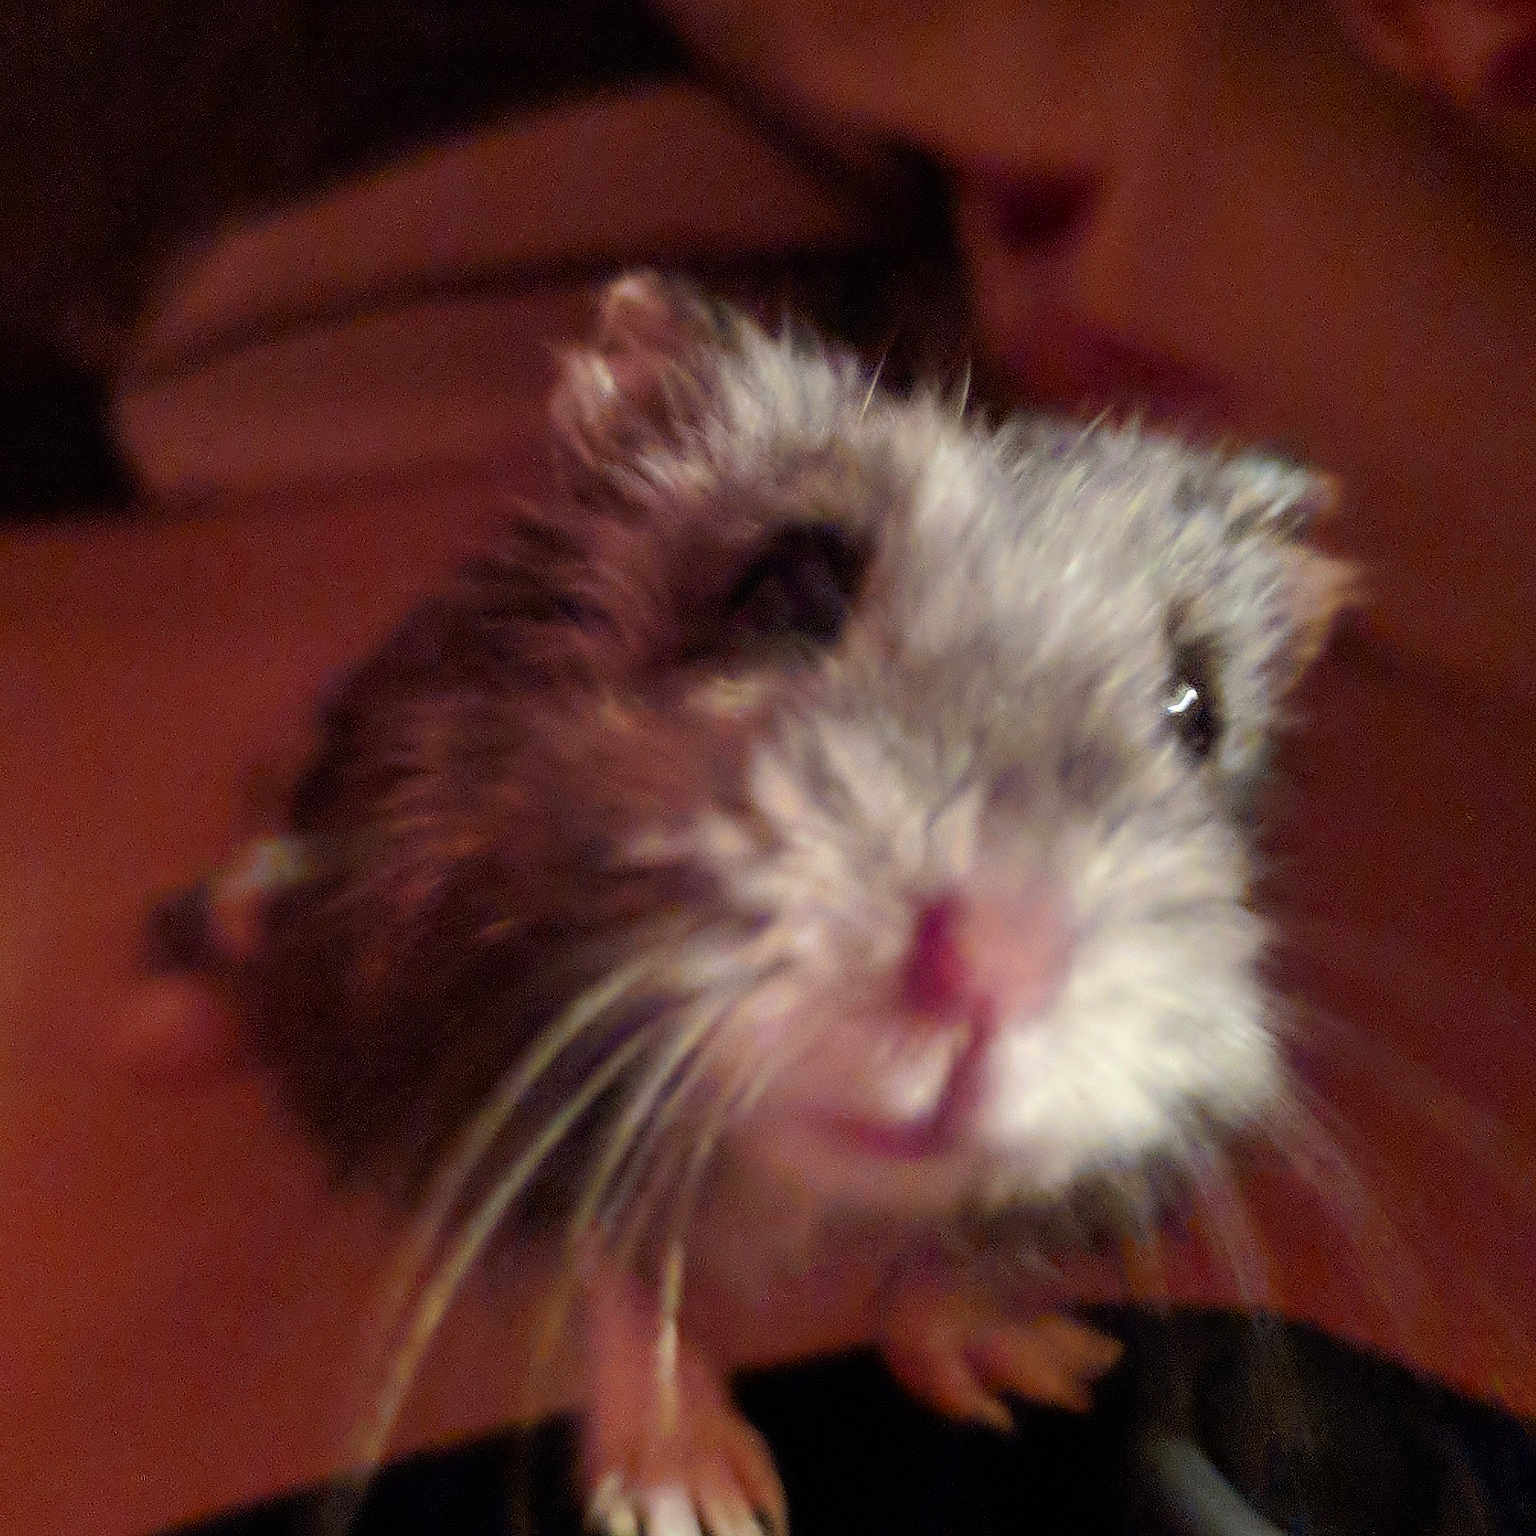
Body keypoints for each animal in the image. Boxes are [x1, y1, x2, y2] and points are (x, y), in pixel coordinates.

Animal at [155, 271, 1351, 1536]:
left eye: (1193, 710)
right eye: (787, 588)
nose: (994, 970)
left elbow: (945, 1261)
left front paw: (1049, 1374)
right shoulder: (487, 1063)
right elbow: (616, 1268)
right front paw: (696, 1503)